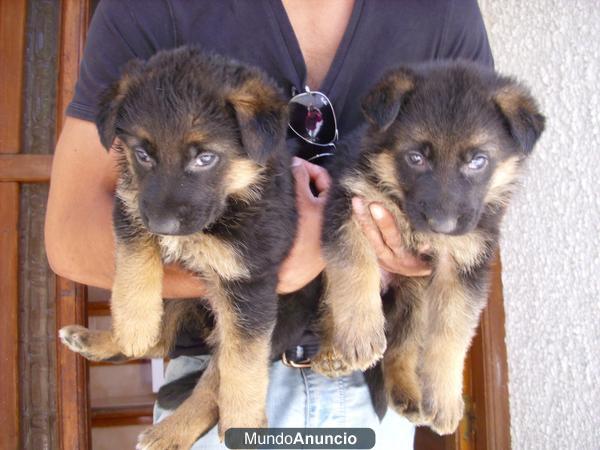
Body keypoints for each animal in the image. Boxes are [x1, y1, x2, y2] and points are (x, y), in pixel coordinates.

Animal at [58, 47, 298, 448]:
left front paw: (243, 419)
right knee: (160, 340)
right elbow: (135, 256)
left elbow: (242, 366)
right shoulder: (130, 203)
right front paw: (134, 323)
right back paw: (99, 339)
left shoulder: (252, 285)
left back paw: (168, 433)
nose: (163, 226)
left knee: (210, 383)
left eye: (205, 158)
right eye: (143, 155)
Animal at [312, 61, 548, 434]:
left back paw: (407, 391)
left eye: (478, 161)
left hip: (415, 295)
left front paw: (445, 399)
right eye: (416, 158)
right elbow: (355, 268)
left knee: (403, 346)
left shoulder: (464, 266)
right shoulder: (349, 205)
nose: (443, 225)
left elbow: (451, 335)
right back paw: (331, 352)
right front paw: (361, 330)